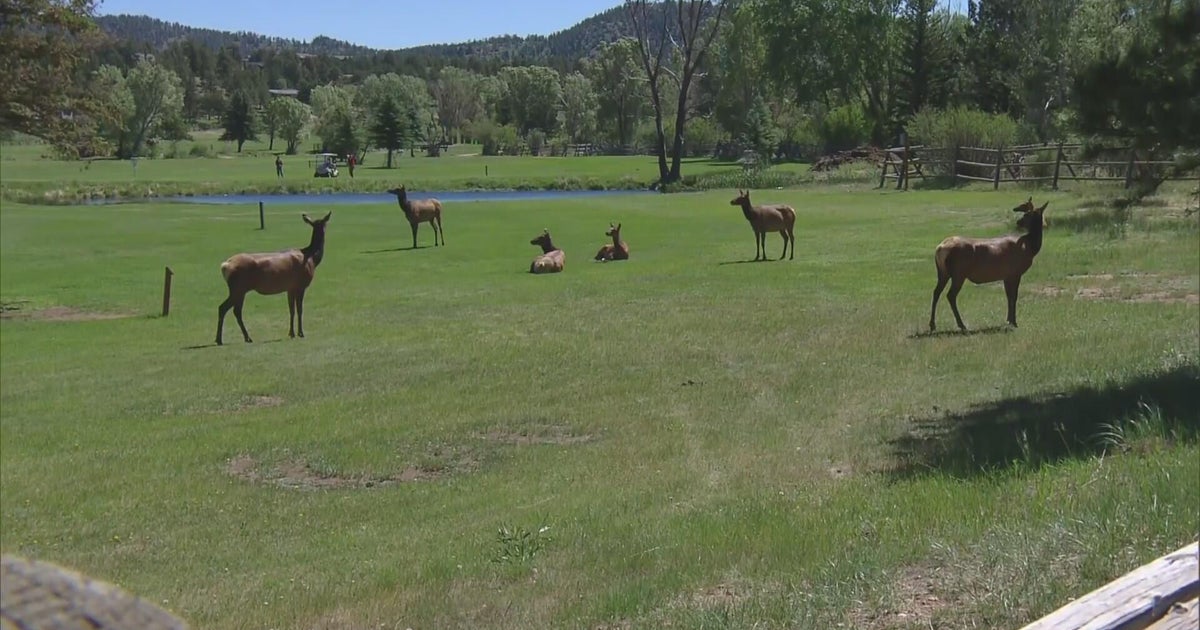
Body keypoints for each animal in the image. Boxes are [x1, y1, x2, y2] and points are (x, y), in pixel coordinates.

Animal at [215, 212, 330, 345]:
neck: (312, 259)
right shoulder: (301, 285)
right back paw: (232, 338)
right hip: (238, 288)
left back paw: (232, 338)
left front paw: (291, 333)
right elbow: (300, 309)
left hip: (238, 289)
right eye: (325, 223)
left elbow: (291, 309)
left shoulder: (290, 287)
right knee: (227, 309)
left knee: (232, 310)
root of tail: (225, 266)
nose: (325, 230)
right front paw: (301, 333)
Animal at [929, 197, 1049, 332]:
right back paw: (962, 325)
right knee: (950, 295)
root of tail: (940, 248)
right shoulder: (1015, 273)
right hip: (958, 273)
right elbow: (1014, 296)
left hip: (942, 272)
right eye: (1026, 214)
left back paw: (933, 325)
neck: (1030, 247)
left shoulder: (1006, 276)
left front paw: (1008, 320)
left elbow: (1008, 296)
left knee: (936, 292)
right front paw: (1013, 322)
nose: (1019, 222)